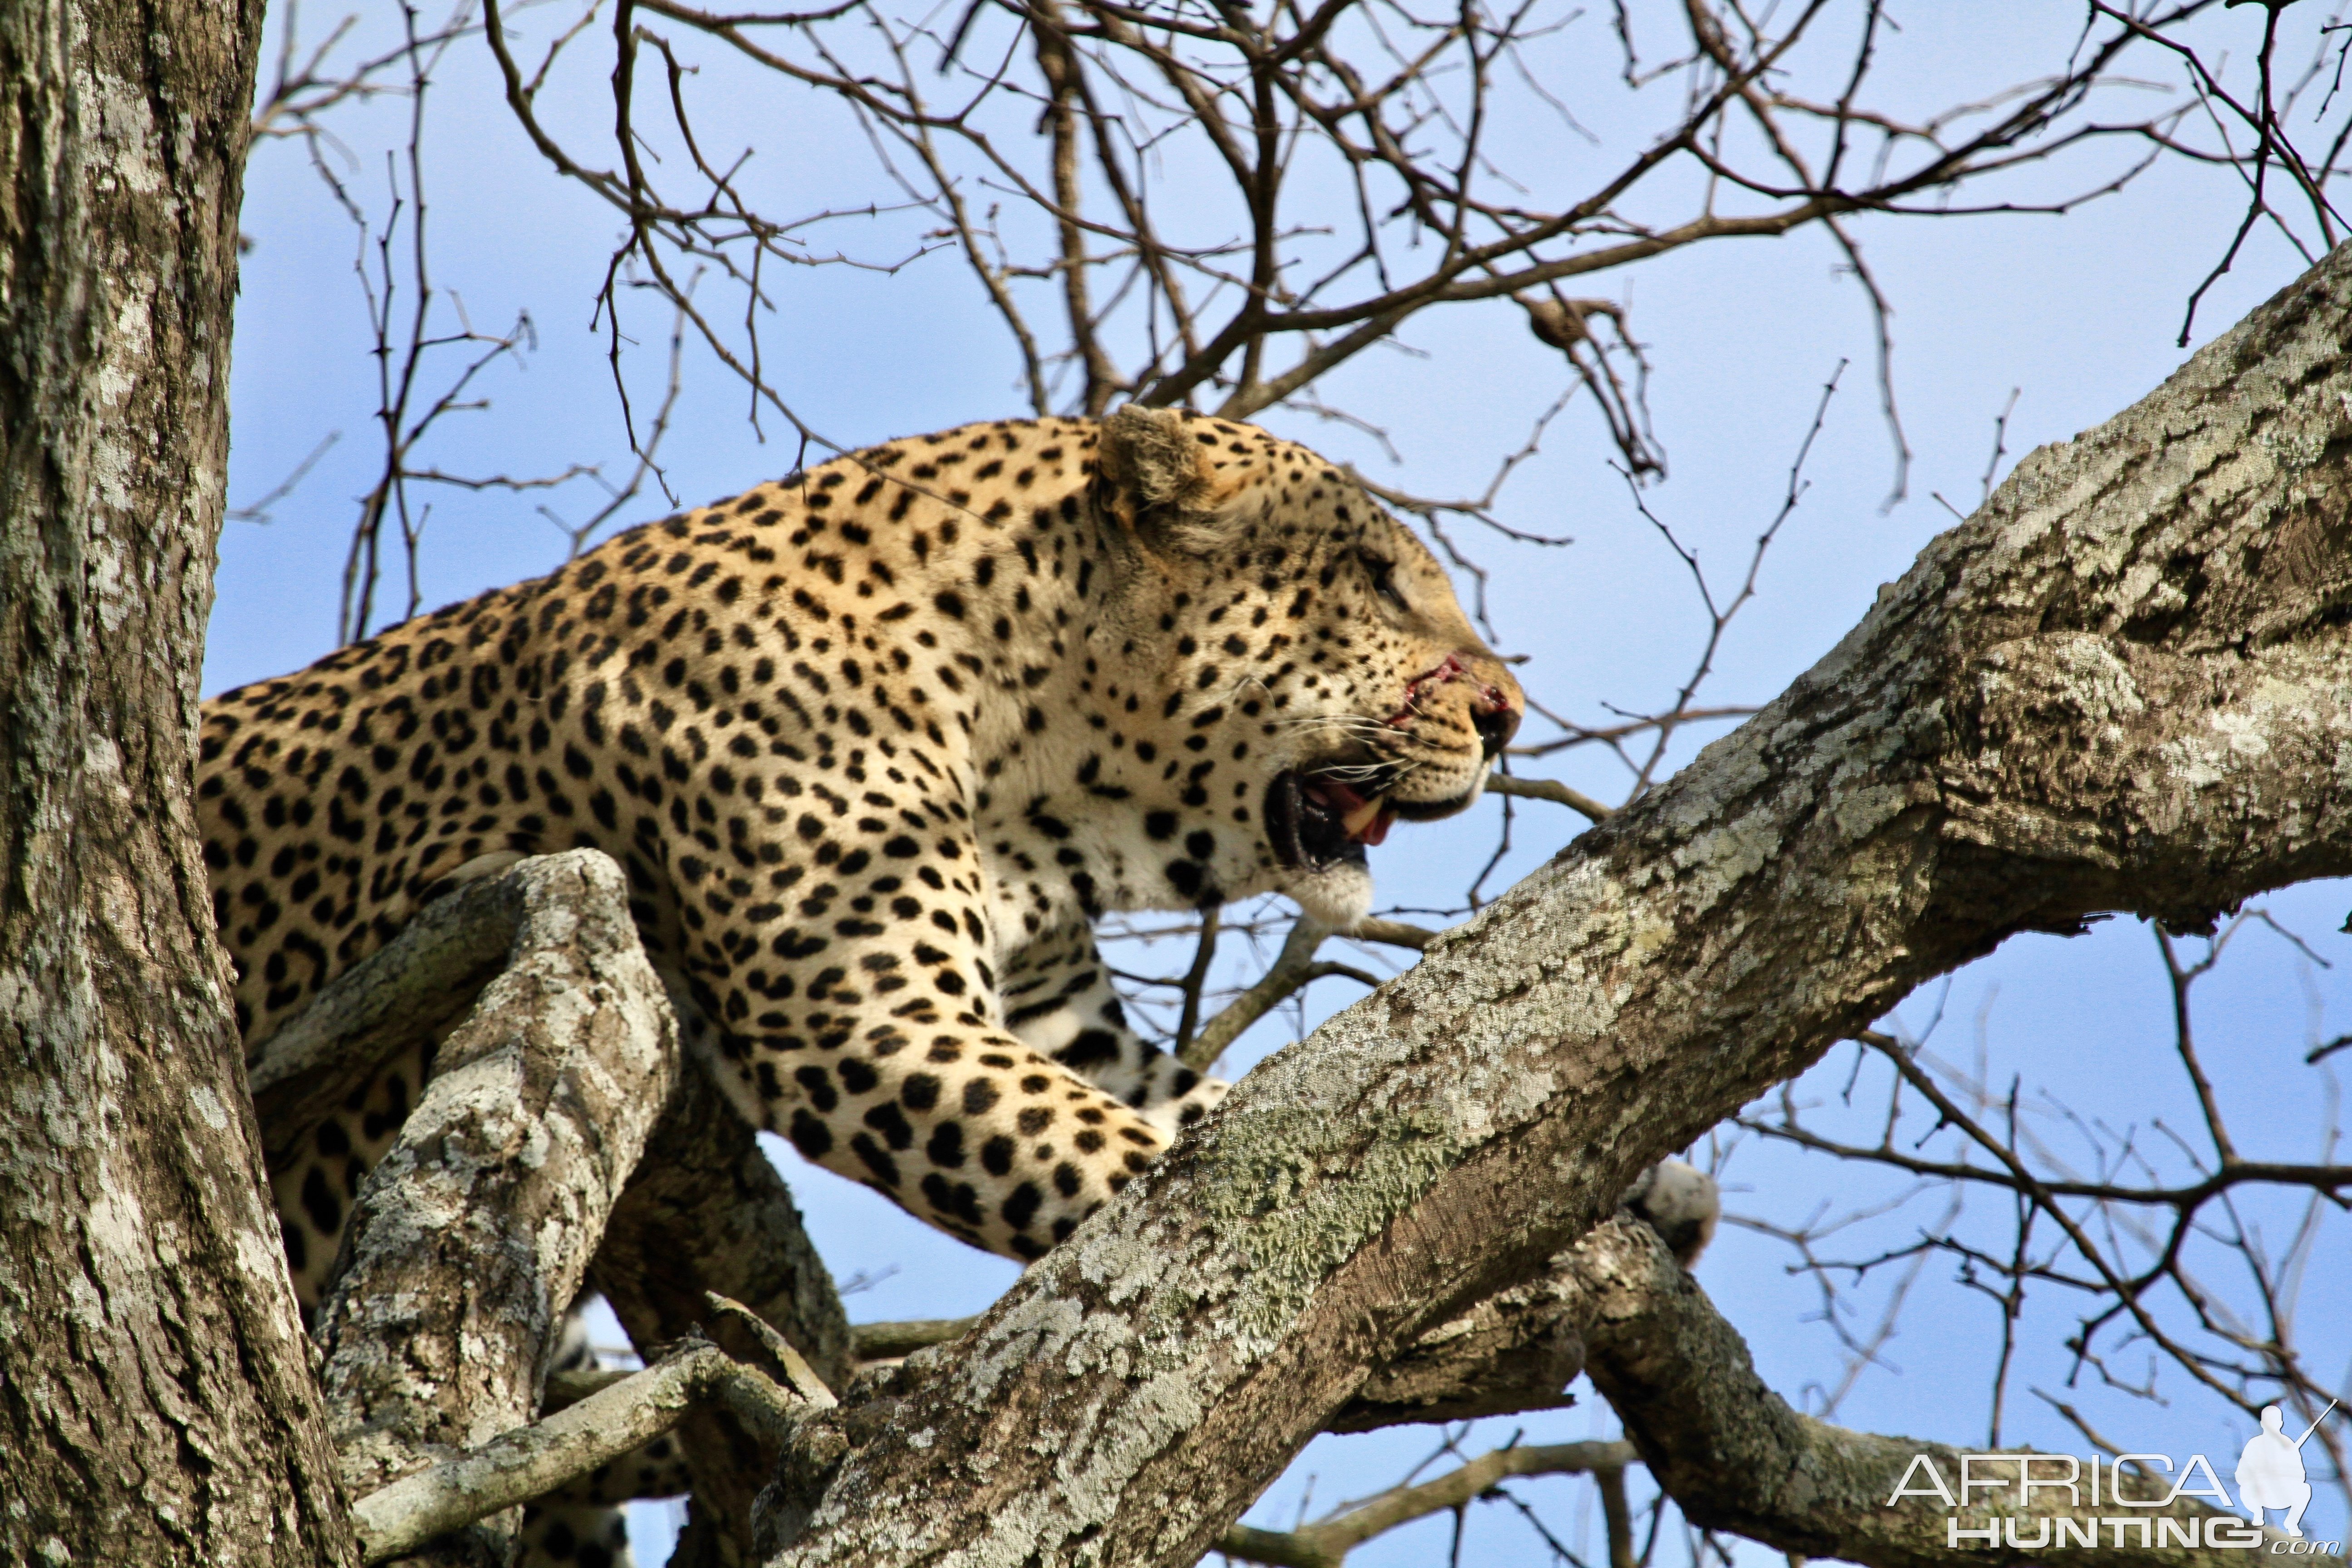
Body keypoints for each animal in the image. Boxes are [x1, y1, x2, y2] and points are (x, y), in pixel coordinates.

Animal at [202, 409, 1524, 1326]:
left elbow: (1211, 1113)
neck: (1034, 778)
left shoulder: (1062, 1023)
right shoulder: (860, 1018)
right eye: (1376, 579)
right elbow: (1143, 1164)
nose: (1509, 714)